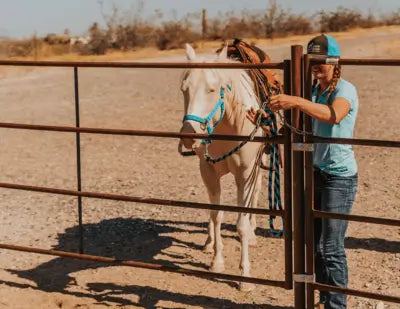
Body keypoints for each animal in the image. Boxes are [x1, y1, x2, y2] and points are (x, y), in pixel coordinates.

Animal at [179, 44, 266, 290]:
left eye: (212, 89)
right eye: (184, 89)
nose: (189, 136)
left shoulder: (245, 174)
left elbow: (241, 223)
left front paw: (245, 276)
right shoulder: (208, 171)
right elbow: (217, 214)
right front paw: (217, 261)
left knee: (256, 193)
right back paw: (209, 242)